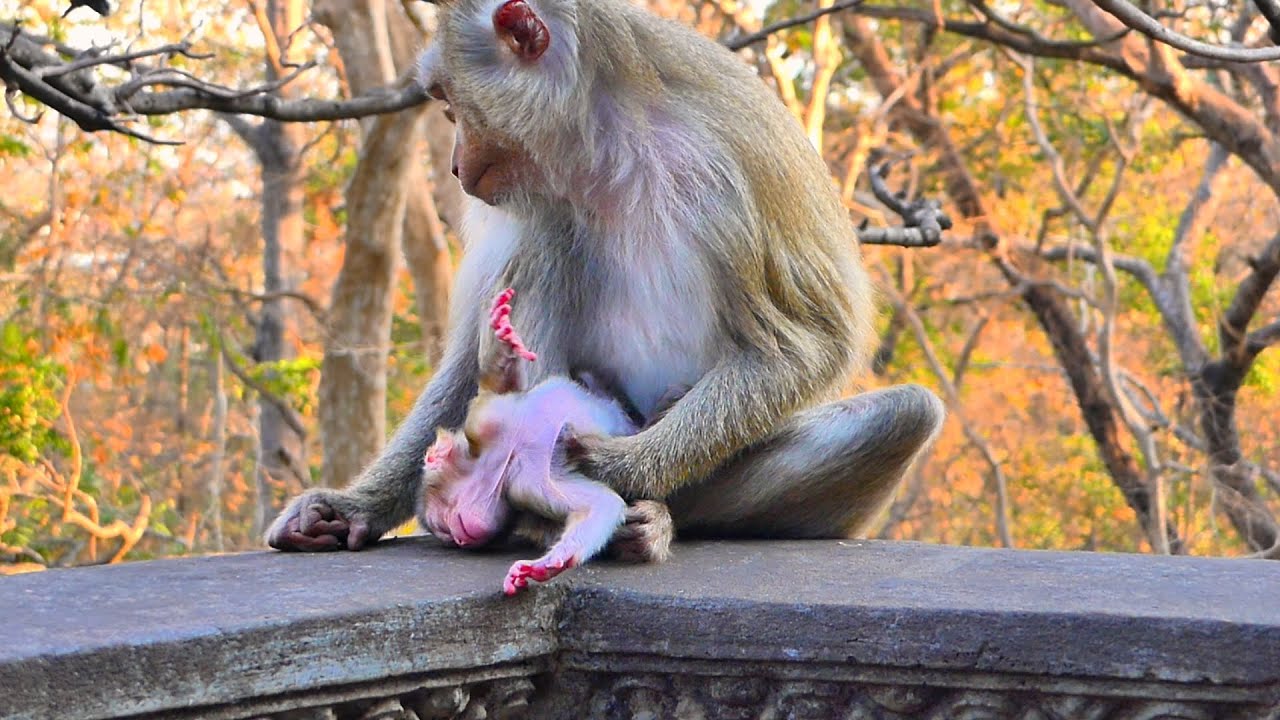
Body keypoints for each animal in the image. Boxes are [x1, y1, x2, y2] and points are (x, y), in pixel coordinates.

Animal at [265, 0, 945, 555]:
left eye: (453, 105)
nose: (456, 165)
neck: (598, 134)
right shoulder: (527, 194)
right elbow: (466, 357)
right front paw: (357, 505)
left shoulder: (721, 179)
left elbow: (803, 345)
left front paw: (616, 465)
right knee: (548, 252)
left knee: (905, 413)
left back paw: (632, 516)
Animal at [420, 288, 674, 594]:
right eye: (443, 532)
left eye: (441, 524)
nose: (458, 539)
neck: (505, 460)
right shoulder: (525, 486)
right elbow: (601, 505)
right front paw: (551, 562)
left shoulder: (486, 421)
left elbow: (501, 385)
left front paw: (504, 336)